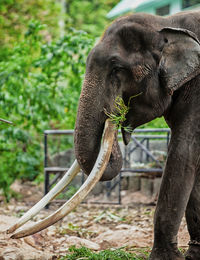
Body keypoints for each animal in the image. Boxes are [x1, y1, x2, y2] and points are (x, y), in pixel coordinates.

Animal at [74, 10, 200, 260]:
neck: (166, 23)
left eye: (116, 69)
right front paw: (194, 256)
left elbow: (184, 151)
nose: (116, 118)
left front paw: (166, 258)